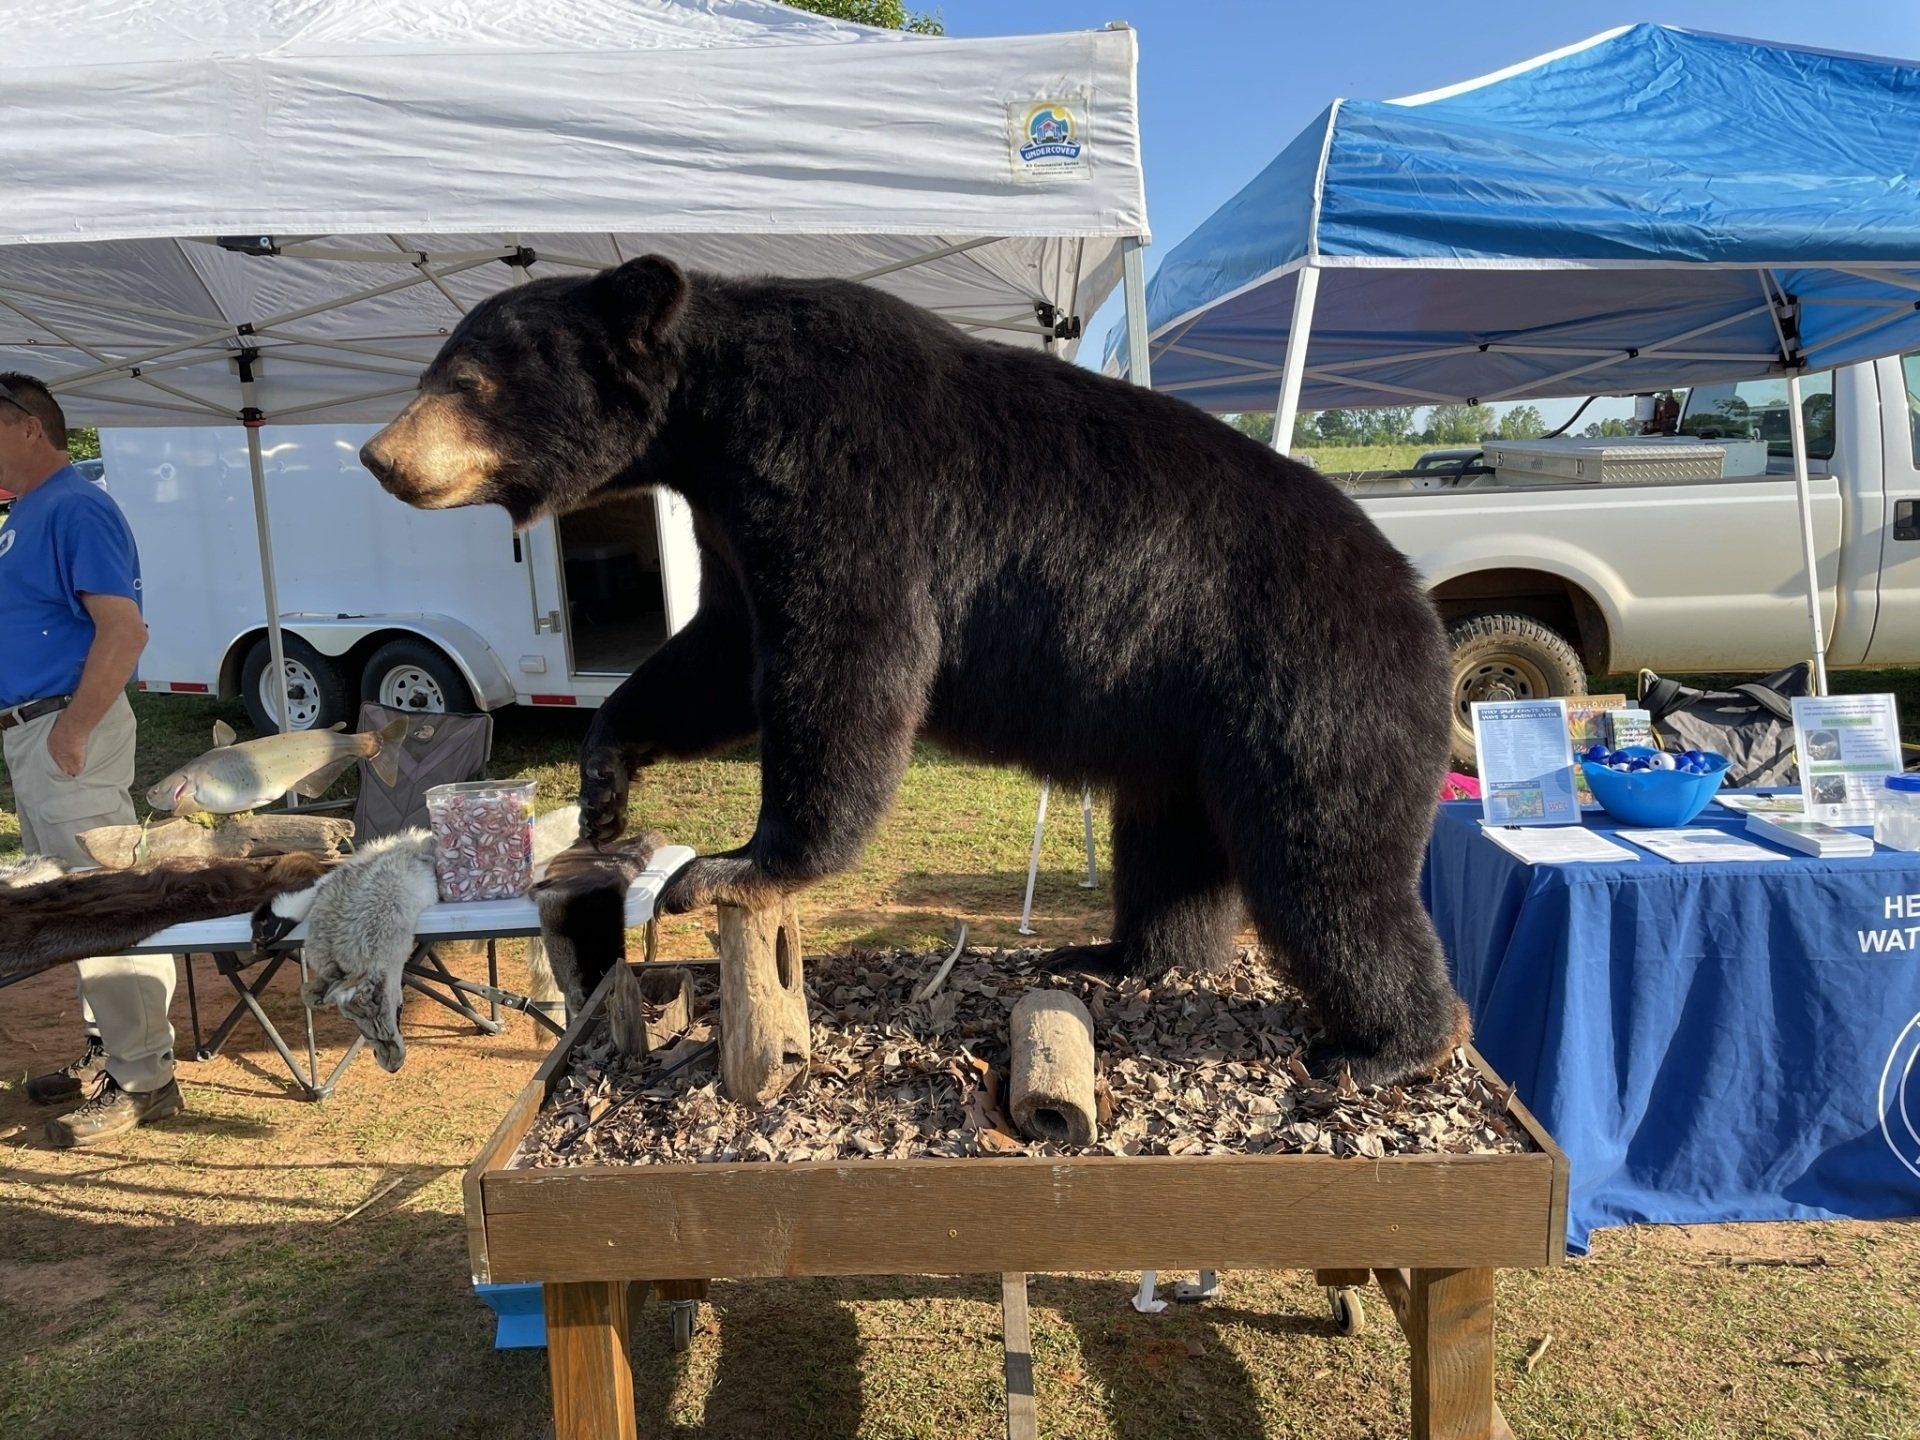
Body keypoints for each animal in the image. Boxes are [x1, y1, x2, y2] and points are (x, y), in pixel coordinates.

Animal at [359, 255, 1468, 1085]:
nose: (378, 457)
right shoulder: (733, 518)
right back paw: (1121, 955)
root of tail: (1421, 608)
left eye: (467, 380)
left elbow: (845, 660)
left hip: (1307, 693)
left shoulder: (837, 473)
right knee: (1172, 847)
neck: (715, 416)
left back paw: (1388, 1047)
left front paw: (732, 863)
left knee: (1326, 862)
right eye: (437, 367)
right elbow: (719, 654)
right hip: (1183, 729)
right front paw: (605, 779)